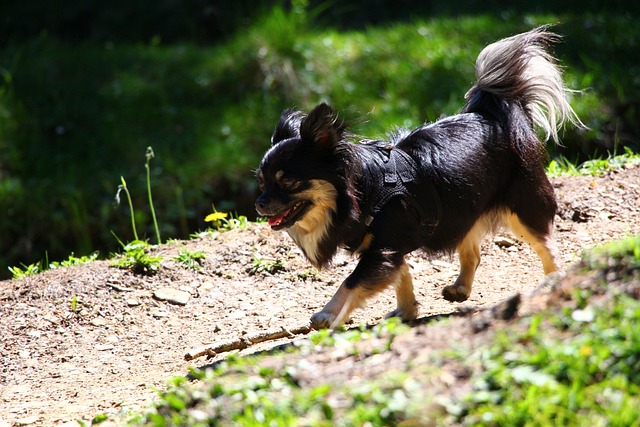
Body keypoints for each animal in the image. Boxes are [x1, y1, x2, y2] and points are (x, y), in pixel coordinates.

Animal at [254, 25, 580, 330]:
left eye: (288, 181)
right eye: (261, 182)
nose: (259, 203)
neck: (363, 190)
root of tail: (491, 115)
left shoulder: (382, 250)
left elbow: (351, 282)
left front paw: (329, 314)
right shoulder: (390, 247)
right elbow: (402, 275)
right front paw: (406, 311)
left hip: (522, 206)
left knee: (546, 245)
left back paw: (553, 281)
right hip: (463, 206)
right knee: (472, 250)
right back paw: (460, 288)